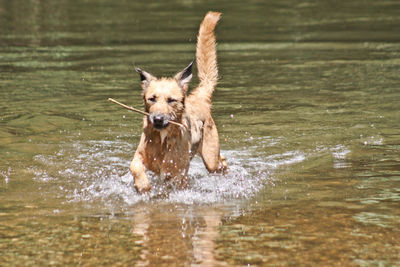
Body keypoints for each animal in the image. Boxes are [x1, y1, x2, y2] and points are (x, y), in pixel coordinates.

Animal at [130, 11, 227, 193]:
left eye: (171, 100)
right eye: (152, 99)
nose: (158, 119)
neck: (162, 139)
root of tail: (199, 97)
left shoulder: (179, 175)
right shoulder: (141, 155)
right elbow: (134, 166)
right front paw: (143, 185)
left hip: (210, 157)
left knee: (221, 162)